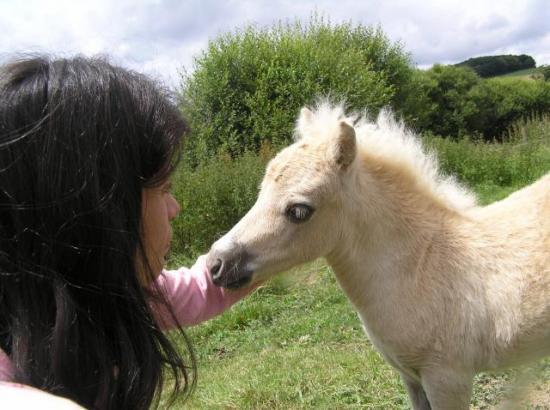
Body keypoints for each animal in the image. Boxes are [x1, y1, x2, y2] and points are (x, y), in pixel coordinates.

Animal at [207, 101, 550, 408]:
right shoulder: (411, 376)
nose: (216, 265)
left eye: (300, 211)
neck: (423, 266)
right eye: (261, 192)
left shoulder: (448, 378)